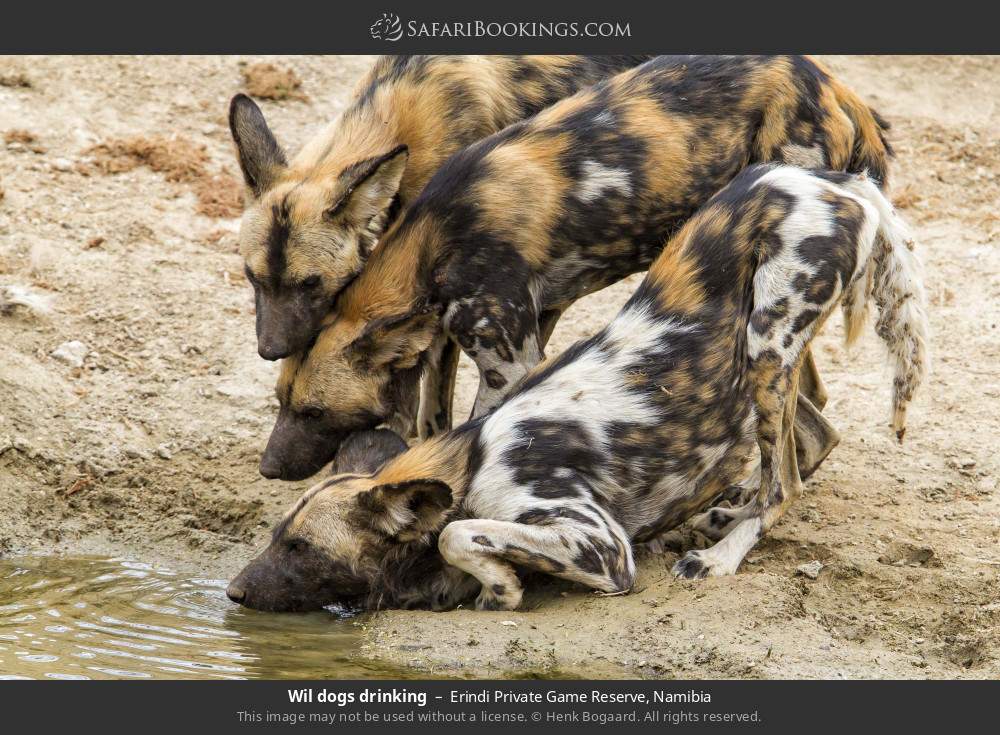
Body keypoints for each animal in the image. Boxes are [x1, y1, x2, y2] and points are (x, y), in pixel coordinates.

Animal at [227, 168, 928, 616]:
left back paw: (721, 556)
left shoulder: (601, 545)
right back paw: (726, 515)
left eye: (302, 548)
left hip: (769, 345)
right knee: (812, 438)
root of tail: (837, 181)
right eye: (276, 537)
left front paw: (502, 588)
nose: (232, 591)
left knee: (787, 481)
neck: (470, 468)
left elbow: (462, 535)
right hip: (764, 367)